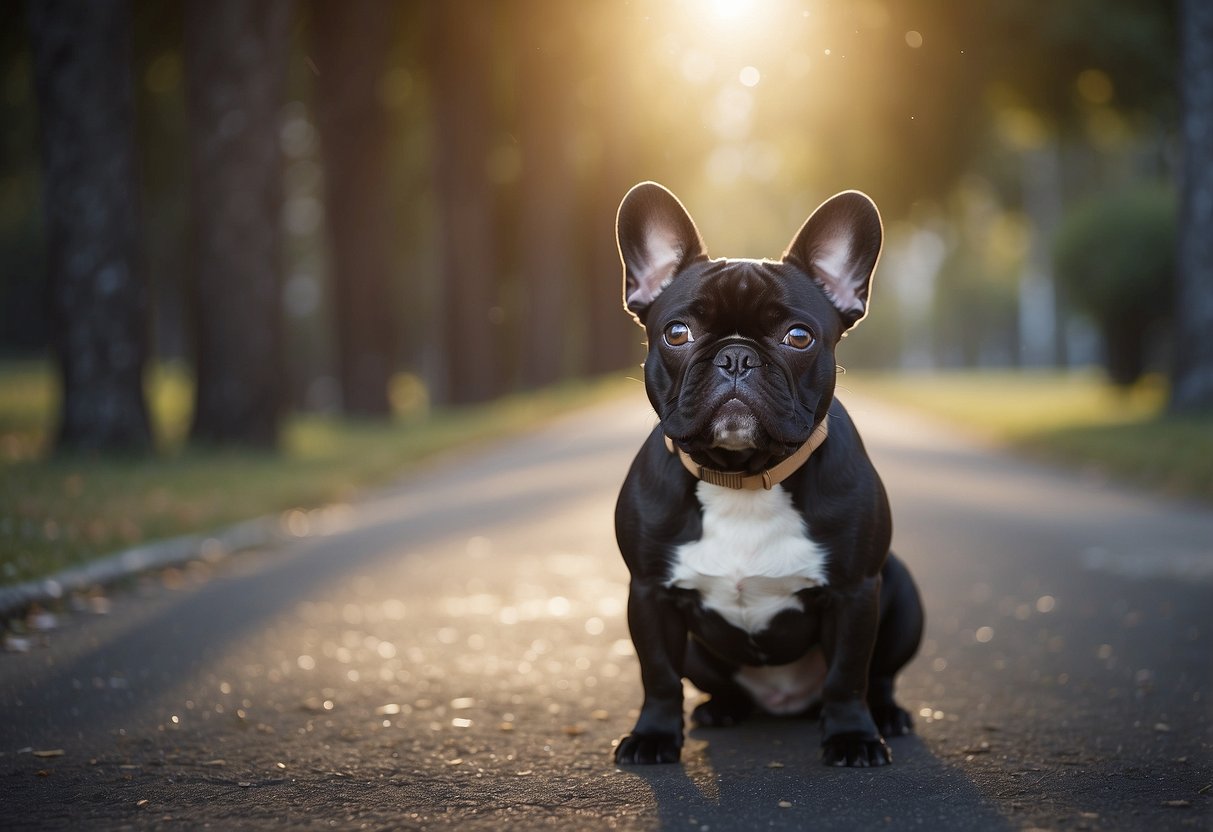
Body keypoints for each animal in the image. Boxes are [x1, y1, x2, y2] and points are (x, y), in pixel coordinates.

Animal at [611, 181, 921, 771]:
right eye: (677, 332)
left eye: (799, 337)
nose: (736, 357)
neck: (742, 478)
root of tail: (784, 701)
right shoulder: (649, 593)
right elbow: (657, 673)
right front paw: (654, 735)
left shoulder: (854, 592)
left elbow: (848, 674)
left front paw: (852, 737)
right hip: (701, 652)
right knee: (715, 684)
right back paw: (719, 710)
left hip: (902, 595)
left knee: (879, 678)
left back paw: (888, 716)